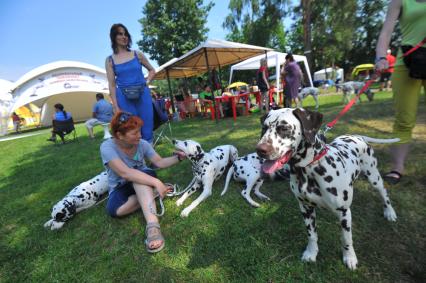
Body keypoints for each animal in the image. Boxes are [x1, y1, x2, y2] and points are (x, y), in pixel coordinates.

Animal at [256, 108, 400, 270]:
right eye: (264, 128)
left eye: (284, 128)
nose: (260, 150)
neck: (309, 169)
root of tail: (357, 136)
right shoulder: (306, 209)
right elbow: (312, 235)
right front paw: (311, 253)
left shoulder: (344, 213)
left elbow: (346, 239)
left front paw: (350, 258)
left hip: (374, 178)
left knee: (384, 194)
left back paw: (389, 212)